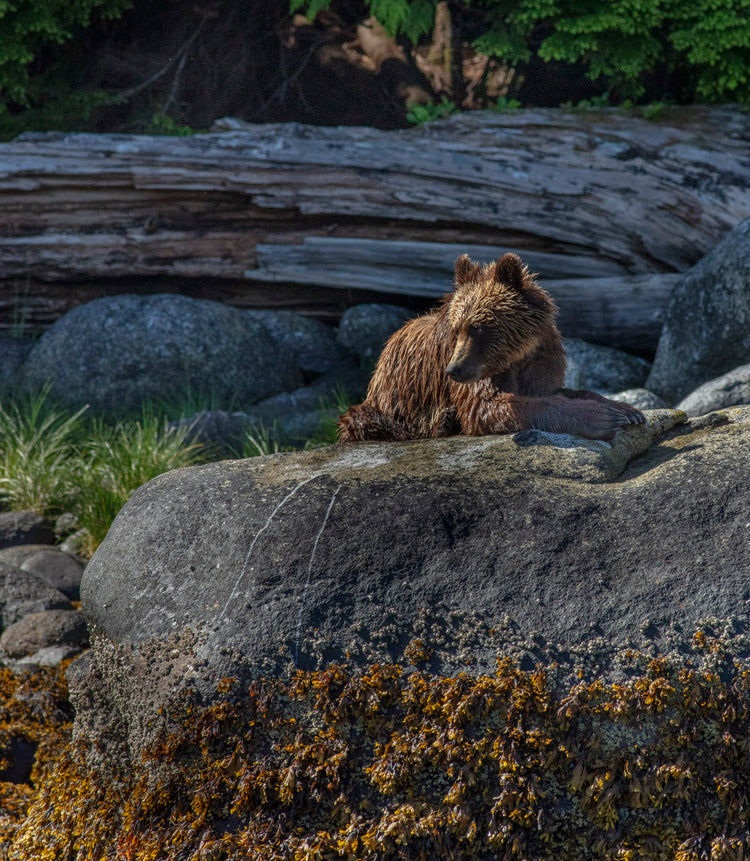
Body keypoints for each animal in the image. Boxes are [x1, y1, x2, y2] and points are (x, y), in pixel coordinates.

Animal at [337, 252, 645, 442]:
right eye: (457, 328)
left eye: (479, 327)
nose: (453, 369)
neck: (517, 355)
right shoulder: (478, 371)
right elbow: (489, 405)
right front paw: (602, 418)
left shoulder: (541, 360)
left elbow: (556, 390)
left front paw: (627, 409)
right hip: (390, 400)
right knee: (366, 421)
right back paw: (444, 421)